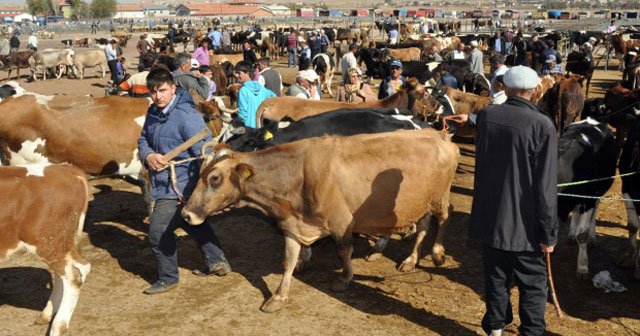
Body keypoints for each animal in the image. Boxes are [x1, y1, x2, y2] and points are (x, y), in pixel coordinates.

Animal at [0, 164, 90, 336]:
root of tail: (66, 169)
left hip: (48, 241)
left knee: (75, 274)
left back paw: (58, 327)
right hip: (59, 243)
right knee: (64, 272)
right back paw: (47, 314)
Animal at [181, 128, 460, 312]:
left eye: (215, 178)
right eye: (200, 172)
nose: (186, 214)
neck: (296, 175)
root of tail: (439, 134)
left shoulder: (341, 221)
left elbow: (344, 251)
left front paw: (345, 279)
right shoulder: (292, 226)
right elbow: (289, 260)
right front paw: (279, 296)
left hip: (439, 196)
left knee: (446, 215)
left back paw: (437, 253)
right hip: (420, 201)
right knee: (423, 225)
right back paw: (411, 259)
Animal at [556, 117, 616, 280]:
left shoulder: (588, 199)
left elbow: (582, 235)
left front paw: (582, 267)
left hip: (598, 191)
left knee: (595, 209)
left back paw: (592, 237)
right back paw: (571, 235)